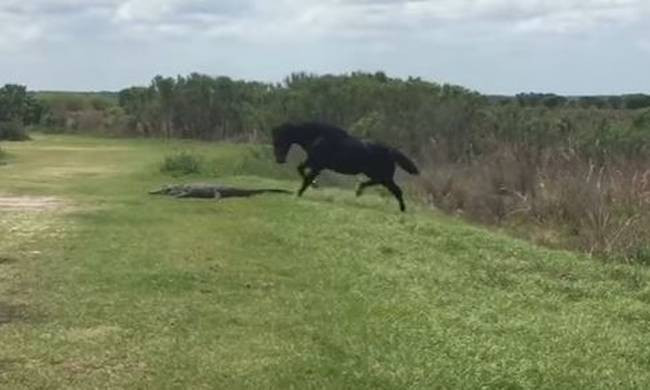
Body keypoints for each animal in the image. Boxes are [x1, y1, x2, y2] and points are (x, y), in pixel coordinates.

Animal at [270, 122, 418, 212]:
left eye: (279, 140)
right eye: (274, 140)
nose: (279, 160)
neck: (318, 137)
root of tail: (390, 150)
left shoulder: (318, 165)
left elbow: (306, 178)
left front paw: (300, 193)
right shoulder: (313, 161)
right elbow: (300, 169)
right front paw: (313, 185)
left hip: (383, 175)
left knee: (396, 190)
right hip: (379, 175)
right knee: (393, 189)